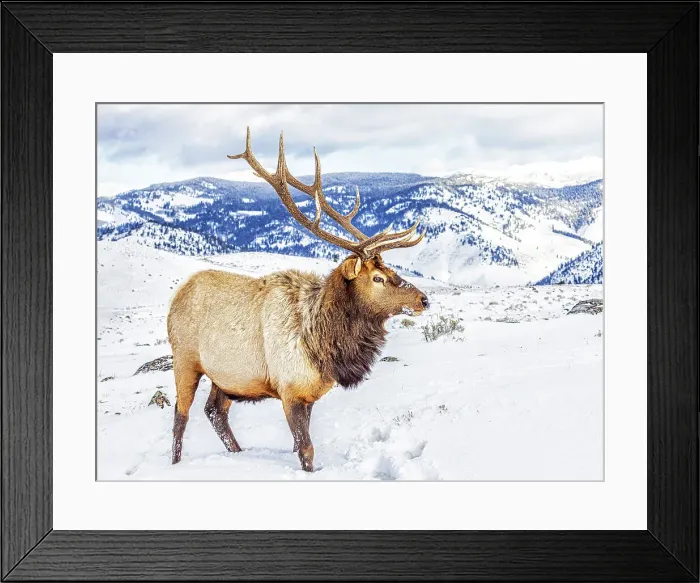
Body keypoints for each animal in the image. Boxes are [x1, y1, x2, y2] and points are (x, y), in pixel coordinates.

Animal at [167, 127, 429, 472]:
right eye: (377, 278)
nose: (423, 299)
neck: (322, 344)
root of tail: (176, 297)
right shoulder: (289, 389)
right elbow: (305, 450)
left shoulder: (307, 394)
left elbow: (299, 446)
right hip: (185, 360)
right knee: (180, 417)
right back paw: (175, 463)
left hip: (225, 377)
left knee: (215, 411)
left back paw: (238, 453)